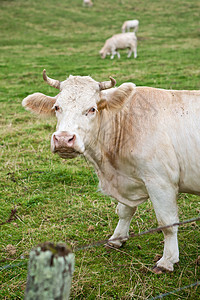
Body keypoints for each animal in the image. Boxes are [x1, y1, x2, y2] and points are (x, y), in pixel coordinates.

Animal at [22, 69, 199, 272]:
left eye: (92, 109)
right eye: (57, 107)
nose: (64, 139)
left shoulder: (161, 181)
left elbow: (167, 223)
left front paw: (167, 260)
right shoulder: (128, 179)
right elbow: (124, 211)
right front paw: (117, 239)